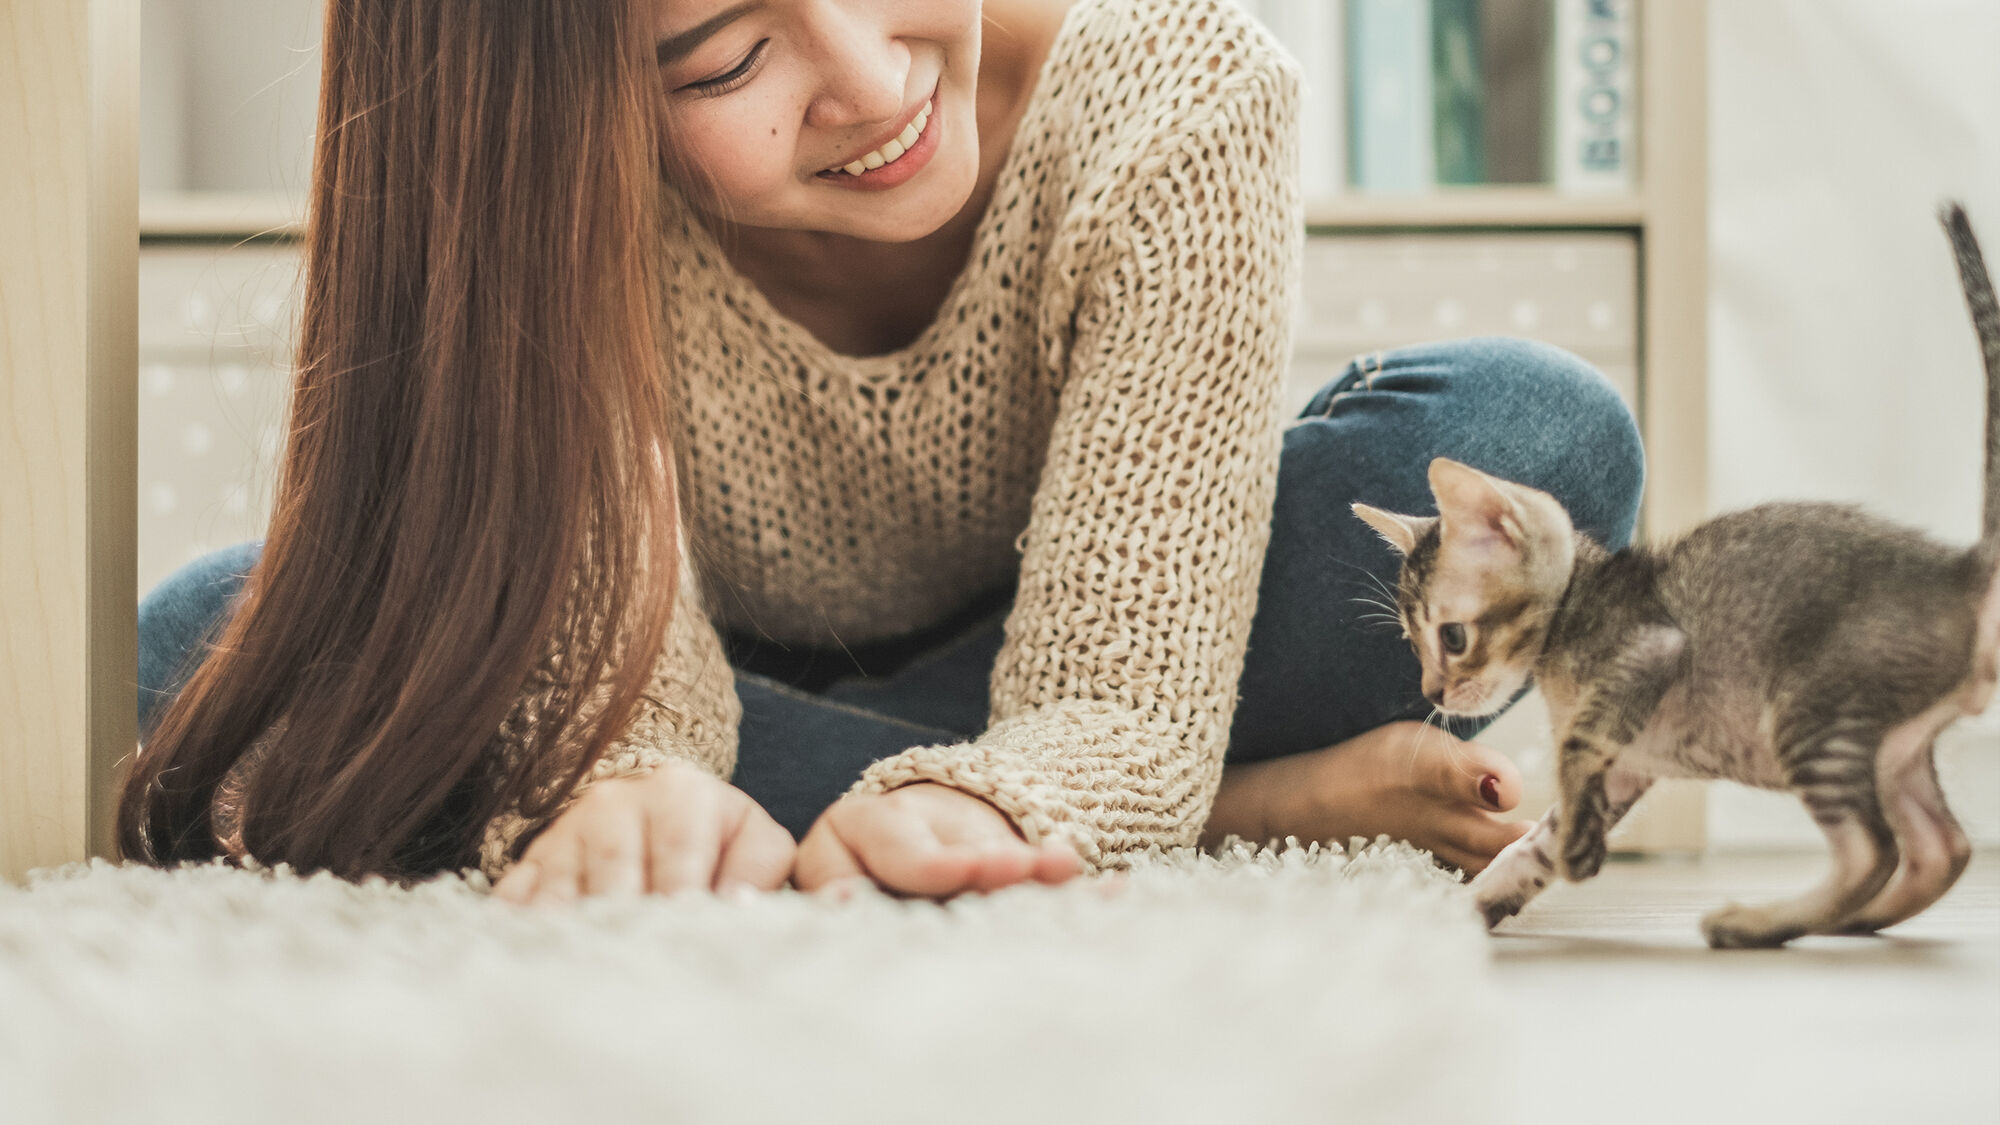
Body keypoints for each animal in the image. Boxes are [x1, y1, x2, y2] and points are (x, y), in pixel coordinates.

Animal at [1360, 203, 2000, 944]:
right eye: (1413, 643)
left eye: (1453, 637)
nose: (1432, 692)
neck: (1576, 607)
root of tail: (1961, 570)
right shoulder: (1626, 766)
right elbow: (1530, 846)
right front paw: (1469, 903)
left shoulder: (1648, 652)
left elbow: (1573, 749)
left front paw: (1575, 854)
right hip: (1892, 749)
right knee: (1941, 848)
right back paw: (1849, 920)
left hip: (1816, 714)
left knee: (1874, 851)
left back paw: (1757, 922)